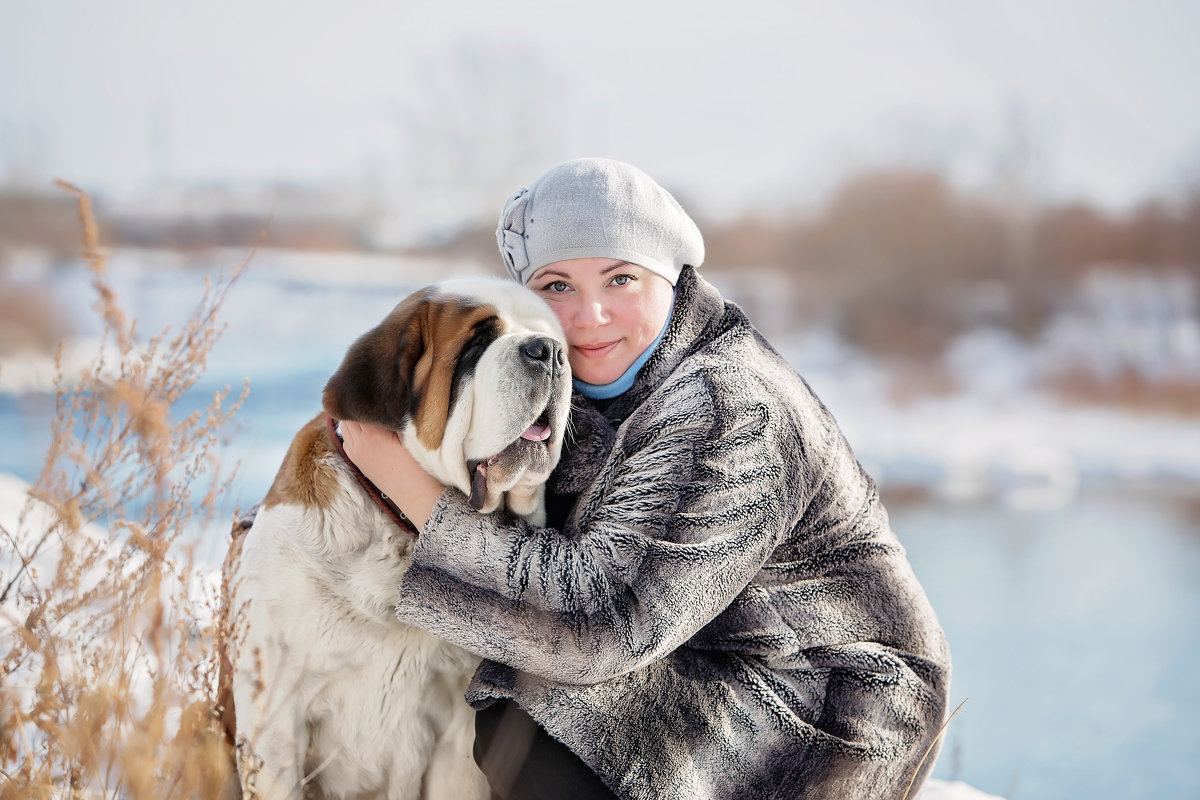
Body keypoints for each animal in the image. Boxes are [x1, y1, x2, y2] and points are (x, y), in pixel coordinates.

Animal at [224, 278, 571, 796]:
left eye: (554, 339)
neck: (403, 528)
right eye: (476, 344)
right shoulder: (277, 719)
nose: (548, 351)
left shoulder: (457, 734)